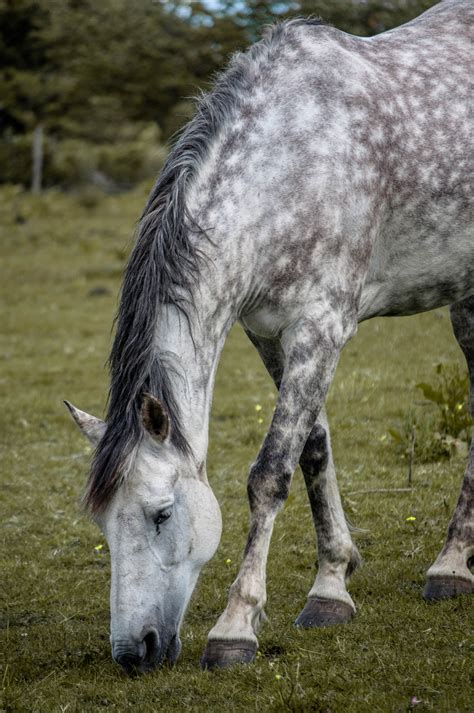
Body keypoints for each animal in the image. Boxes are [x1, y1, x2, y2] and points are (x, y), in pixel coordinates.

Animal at [65, 0, 470, 672]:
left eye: (161, 514)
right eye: (102, 524)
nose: (133, 652)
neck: (290, 166)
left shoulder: (321, 326)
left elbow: (270, 473)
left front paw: (235, 625)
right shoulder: (269, 335)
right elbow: (313, 450)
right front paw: (332, 585)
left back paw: (452, 566)